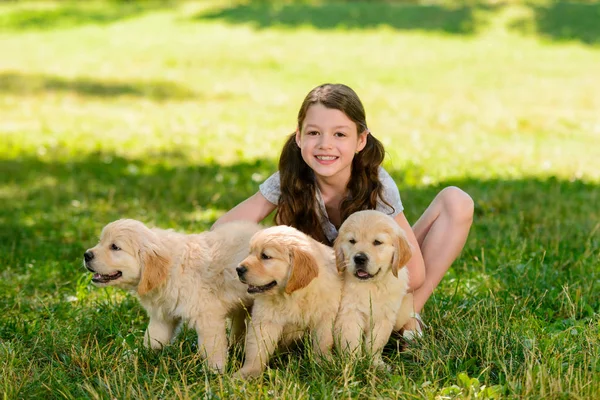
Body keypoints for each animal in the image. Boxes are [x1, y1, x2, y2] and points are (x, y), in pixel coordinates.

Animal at [83, 219, 262, 372]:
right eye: (100, 241)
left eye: (115, 247)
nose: (86, 255)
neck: (170, 269)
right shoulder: (162, 315)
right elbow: (153, 338)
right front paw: (134, 355)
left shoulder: (208, 316)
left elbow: (212, 348)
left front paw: (215, 373)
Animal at [234, 225, 342, 378]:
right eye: (250, 252)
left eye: (265, 256)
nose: (238, 269)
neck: (293, 296)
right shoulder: (265, 320)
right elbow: (257, 348)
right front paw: (249, 372)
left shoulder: (324, 316)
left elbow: (322, 342)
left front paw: (323, 363)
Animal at [332, 211, 412, 370]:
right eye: (352, 241)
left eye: (377, 242)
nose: (359, 258)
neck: (371, 286)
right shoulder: (349, 314)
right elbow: (351, 341)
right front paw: (353, 364)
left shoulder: (385, 317)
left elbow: (376, 342)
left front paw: (375, 363)